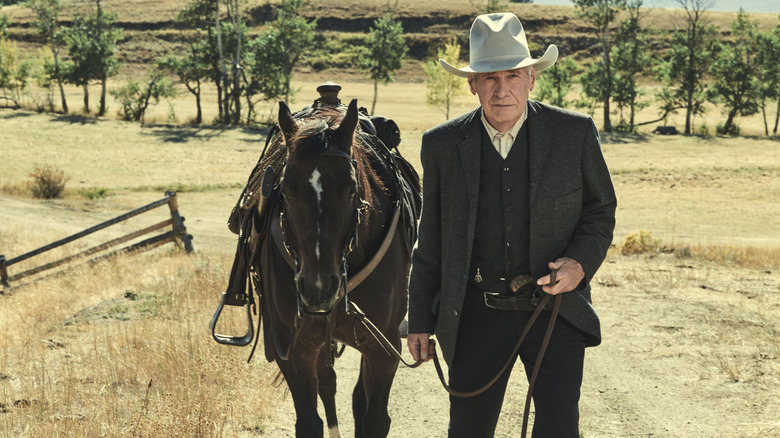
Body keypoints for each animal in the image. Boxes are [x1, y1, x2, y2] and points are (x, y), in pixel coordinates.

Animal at [254, 100, 414, 438]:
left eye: (351, 189)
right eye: (285, 190)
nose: (318, 288)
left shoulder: (383, 347)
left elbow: (374, 419)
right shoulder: (294, 347)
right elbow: (309, 421)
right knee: (327, 385)